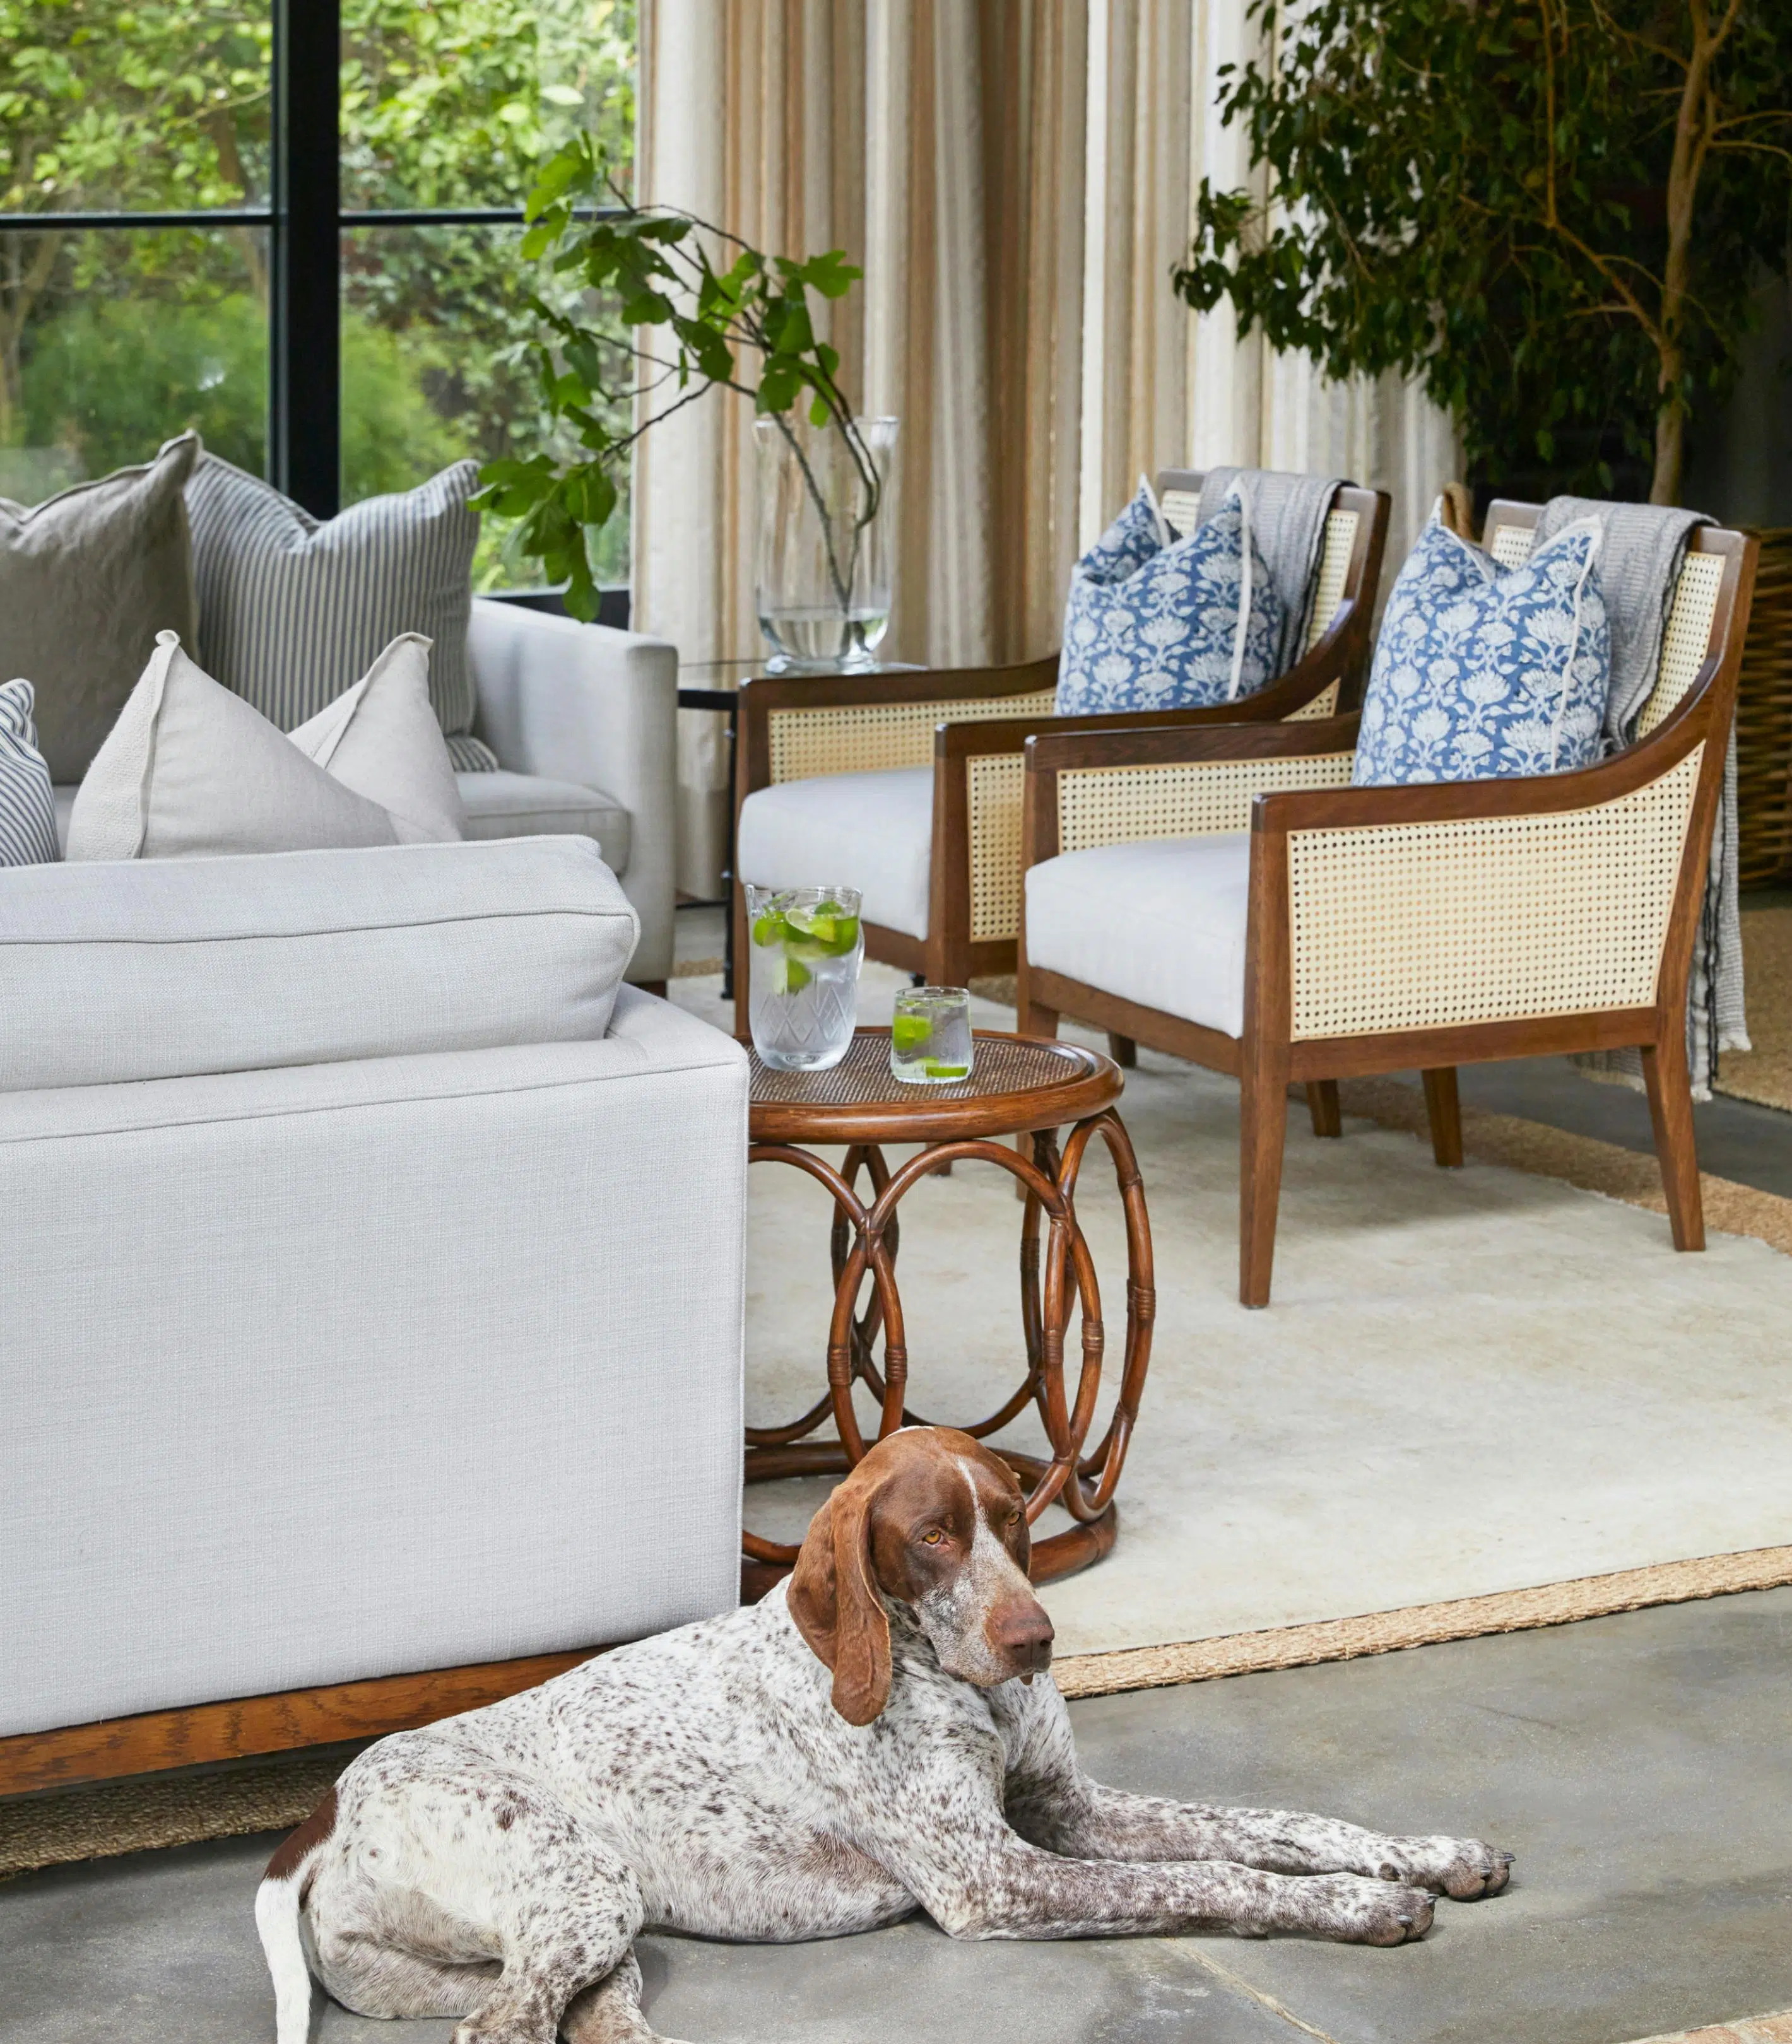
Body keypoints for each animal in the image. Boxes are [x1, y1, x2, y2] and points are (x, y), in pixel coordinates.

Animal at [255, 1431, 1512, 2036]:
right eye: (933, 1537)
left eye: (1010, 1518)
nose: (1035, 1636)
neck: (946, 1676)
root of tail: (323, 1813)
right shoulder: (996, 1878)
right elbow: (1220, 1879)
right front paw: (1358, 1908)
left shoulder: (1065, 1809)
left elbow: (1274, 1824)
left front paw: (1433, 1854)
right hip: (585, 1891)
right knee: (502, 2032)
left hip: (584, 1943)